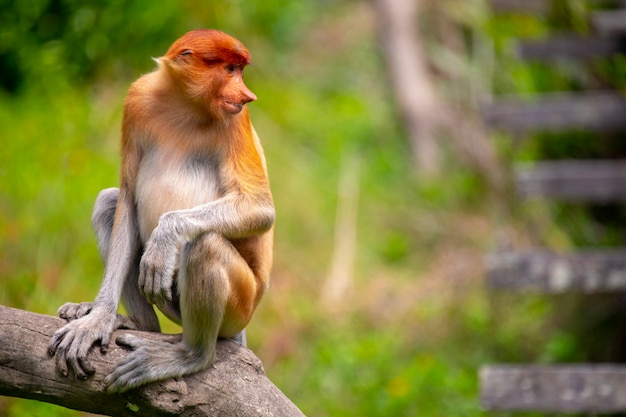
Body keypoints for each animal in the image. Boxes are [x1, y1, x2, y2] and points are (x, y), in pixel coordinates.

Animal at [47, 30, 272, 392]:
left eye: (239, 70)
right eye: (230, 69)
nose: (248, 96)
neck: (186, 105)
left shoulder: (237, 120)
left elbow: (260, 208)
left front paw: (165, 237)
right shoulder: (136, 100)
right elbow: (126, 196)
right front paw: (97, 319)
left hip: (241, 306)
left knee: (205, 244)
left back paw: (190, 355)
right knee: (108, 203)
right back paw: (137, 323)